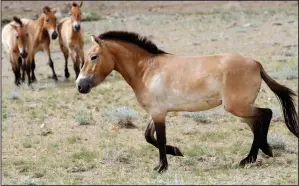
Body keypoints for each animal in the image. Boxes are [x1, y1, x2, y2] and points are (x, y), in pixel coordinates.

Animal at [76, 30, 298, 173]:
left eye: (93, 57)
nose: (80, 85)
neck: (147, 69)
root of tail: (256, 64)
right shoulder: (157, 111)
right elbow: (149, 136)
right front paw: (176, 152)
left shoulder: (158, 113)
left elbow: (160, 138)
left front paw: (162, 167)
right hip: (241, 109)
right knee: (257, 123)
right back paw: (260, 153)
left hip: (237, 107)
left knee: (266, 114)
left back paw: (251, 158)